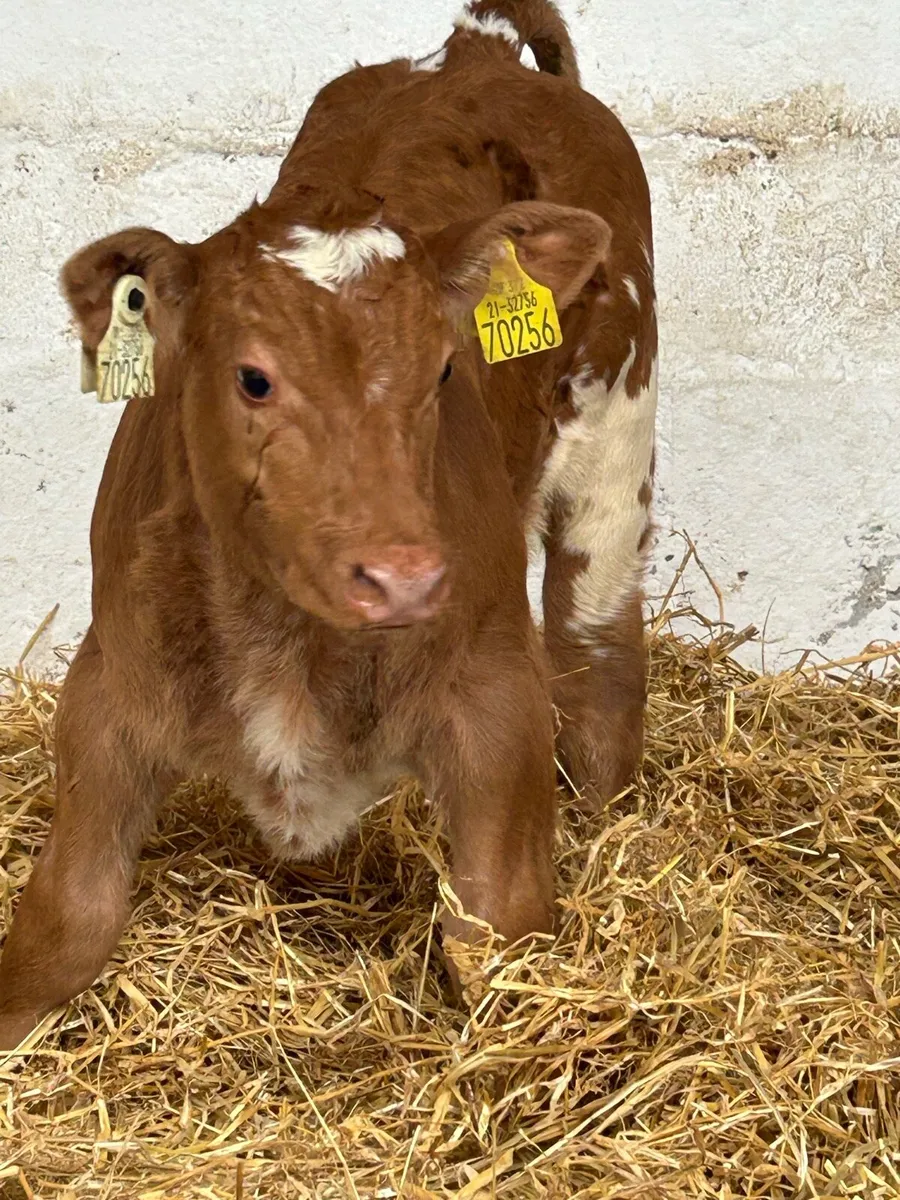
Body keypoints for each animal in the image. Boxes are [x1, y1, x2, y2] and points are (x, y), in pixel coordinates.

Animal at [0, 0, 656, 1049]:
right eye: (252, 376)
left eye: (444, 367)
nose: (403, 576)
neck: (291, 647)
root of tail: (473, 49)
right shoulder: (107, 688)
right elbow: (64, 924)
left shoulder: (497, 698)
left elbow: (498, 934)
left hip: (614, 446)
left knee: (598, 661)